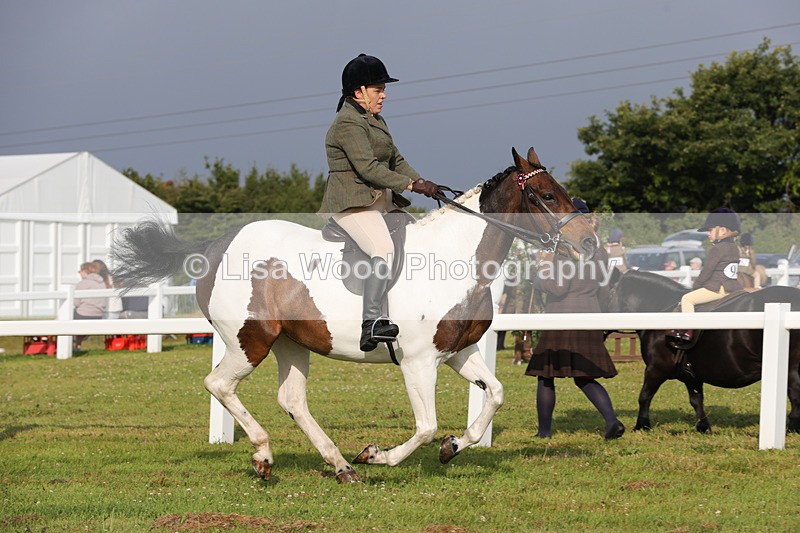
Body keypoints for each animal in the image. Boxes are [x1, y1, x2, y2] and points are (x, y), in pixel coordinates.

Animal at [111, 147, 598, 483]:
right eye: (546, 194)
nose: (589, 243)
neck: (454, 260)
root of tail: (215, 246)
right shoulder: (419, 362)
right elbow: (425, 426)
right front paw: (379, 455)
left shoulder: (459, 352)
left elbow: (494, 395)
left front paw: (453, 447)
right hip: (249, 341)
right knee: (219, 385)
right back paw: (266, 456)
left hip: (291, 343)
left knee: (292, 400)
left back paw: (340, 466)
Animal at [608, 268, 800, 433]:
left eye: (609, 294)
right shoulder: (691, 374)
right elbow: (696, 399)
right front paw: (703, 426)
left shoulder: (655, 369)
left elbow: (644, 396)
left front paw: (641, 425)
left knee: (794, 392)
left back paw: (793, 427)